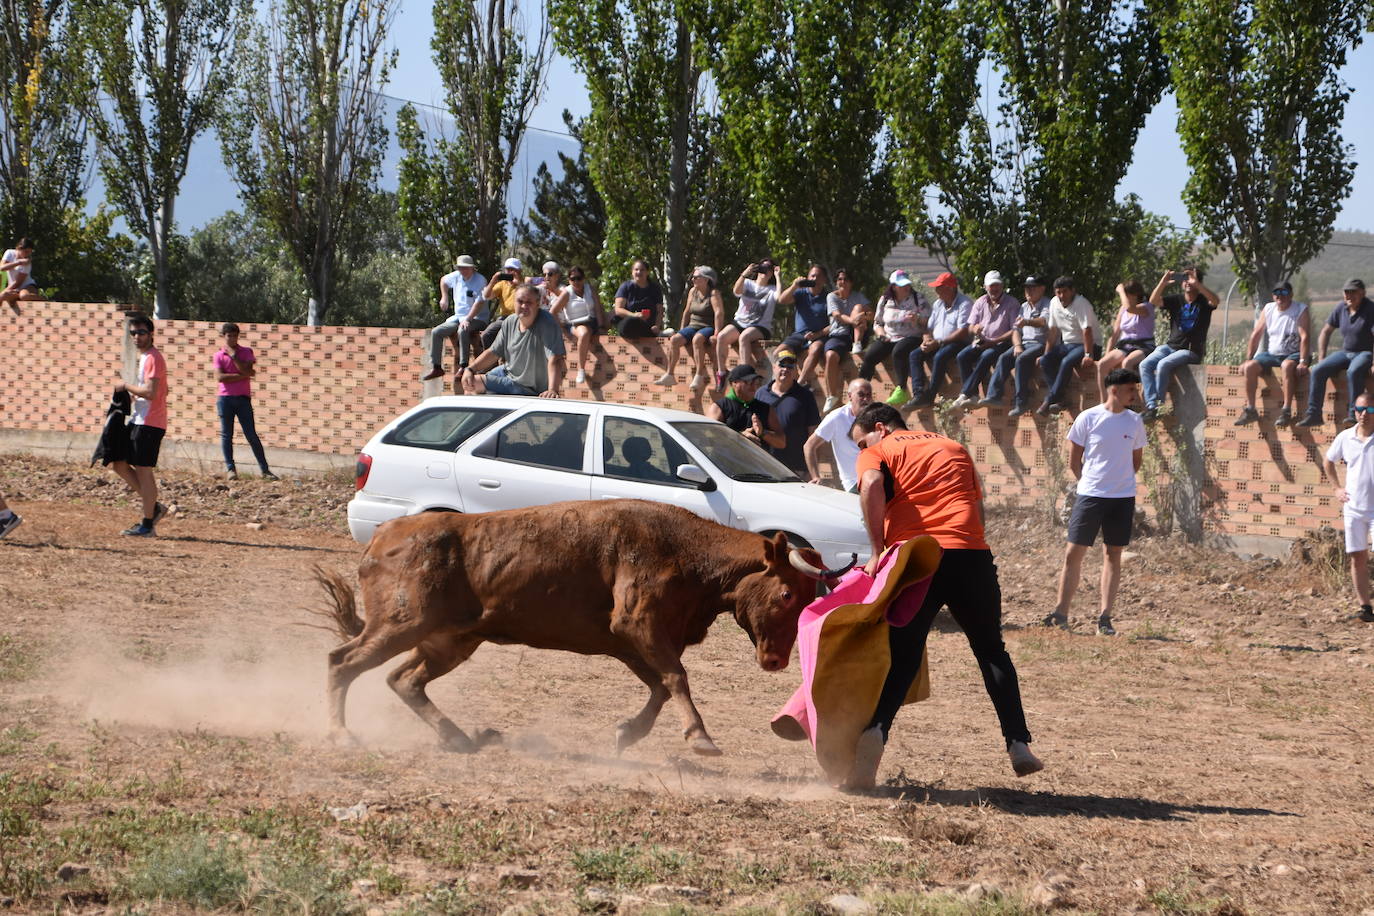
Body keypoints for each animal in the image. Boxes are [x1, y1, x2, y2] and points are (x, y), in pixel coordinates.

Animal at [316, 502, 846, 752]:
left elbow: (660, 685)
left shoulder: (632, 643)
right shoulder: (638, 626)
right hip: (401, 624)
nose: (775, 660)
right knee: (342, 662)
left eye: (807, 600)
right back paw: (341, 734)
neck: (686, 553)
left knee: (403, 680)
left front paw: (627, 733)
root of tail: (386, 534)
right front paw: (701, 738)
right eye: (787, 594)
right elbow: (676, 678)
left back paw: (459, 738)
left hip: (452, 641)